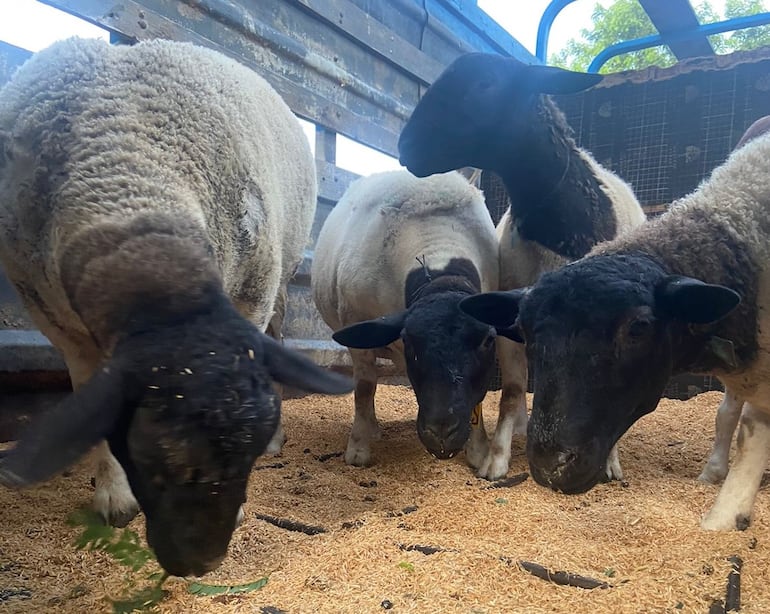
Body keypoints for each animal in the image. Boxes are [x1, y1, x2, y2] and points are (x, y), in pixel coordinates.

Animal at [0, 37, 352, 576]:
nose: (202, 563)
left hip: (282, 265)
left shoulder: (251, 290)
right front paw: (112, 495)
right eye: (149, 463)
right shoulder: (52, 314)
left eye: (245, 461)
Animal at [308, 168, 500, 466]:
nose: (441, 435)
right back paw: (372, 430)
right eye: (409, 340)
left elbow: (478, 397)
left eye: (488, 340)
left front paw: (479, 453)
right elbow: (365, 387)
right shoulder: (355, 321)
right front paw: (358, 449)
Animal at [400, 53, 644, 484]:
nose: (405, 146)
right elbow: (513, 391)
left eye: (485, 84)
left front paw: (605, 462)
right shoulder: (510, 322)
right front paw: (496, 461)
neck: (559, 225)